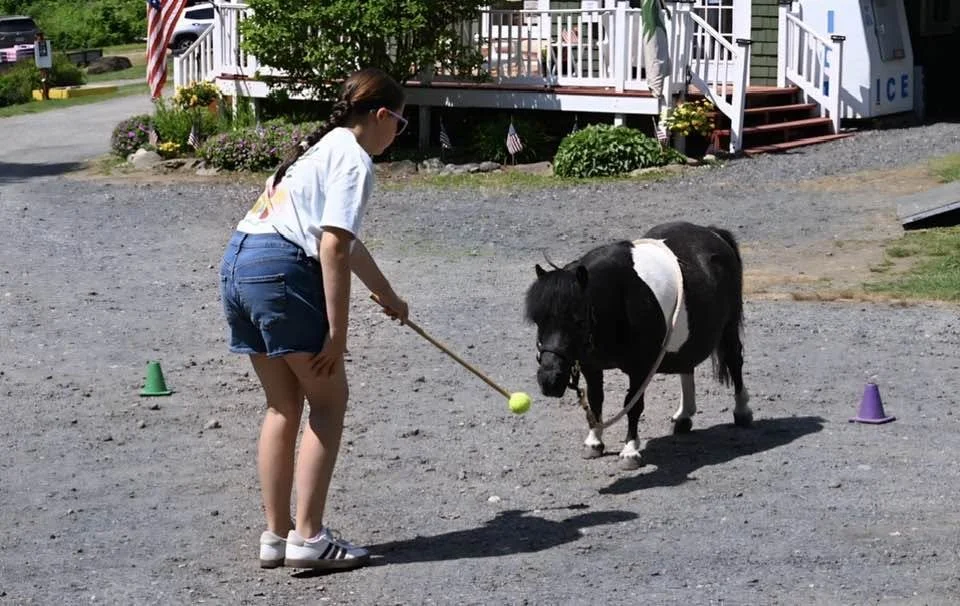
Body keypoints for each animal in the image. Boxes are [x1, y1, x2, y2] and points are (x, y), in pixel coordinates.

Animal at [524, 221, 752, 470]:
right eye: (538, 321)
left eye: (578, 320)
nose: (549, 381)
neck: (619, 302)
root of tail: (712, 232)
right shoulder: (591, 366)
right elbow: (595, 399)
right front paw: (594, 442)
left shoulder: (641, 369)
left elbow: (633, 405)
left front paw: (630, 451)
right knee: (687, 365)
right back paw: (684, 417)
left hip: (729, 327)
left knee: (735, 361)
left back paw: (742, 412)